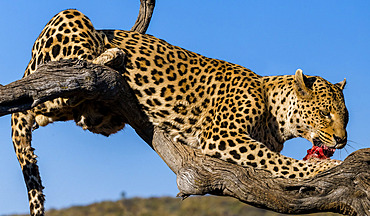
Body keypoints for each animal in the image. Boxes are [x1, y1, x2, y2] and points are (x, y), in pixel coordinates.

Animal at [10, 9, 348, 215]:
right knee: (69, 71)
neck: (276, 115)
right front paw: (323, 167)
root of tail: (25, 67)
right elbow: (278, 161)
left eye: (345, 117)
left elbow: (273, 159)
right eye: (325, 113)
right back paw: (112, 54)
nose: (342, 140)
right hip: (68, 21)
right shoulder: (222, 135)